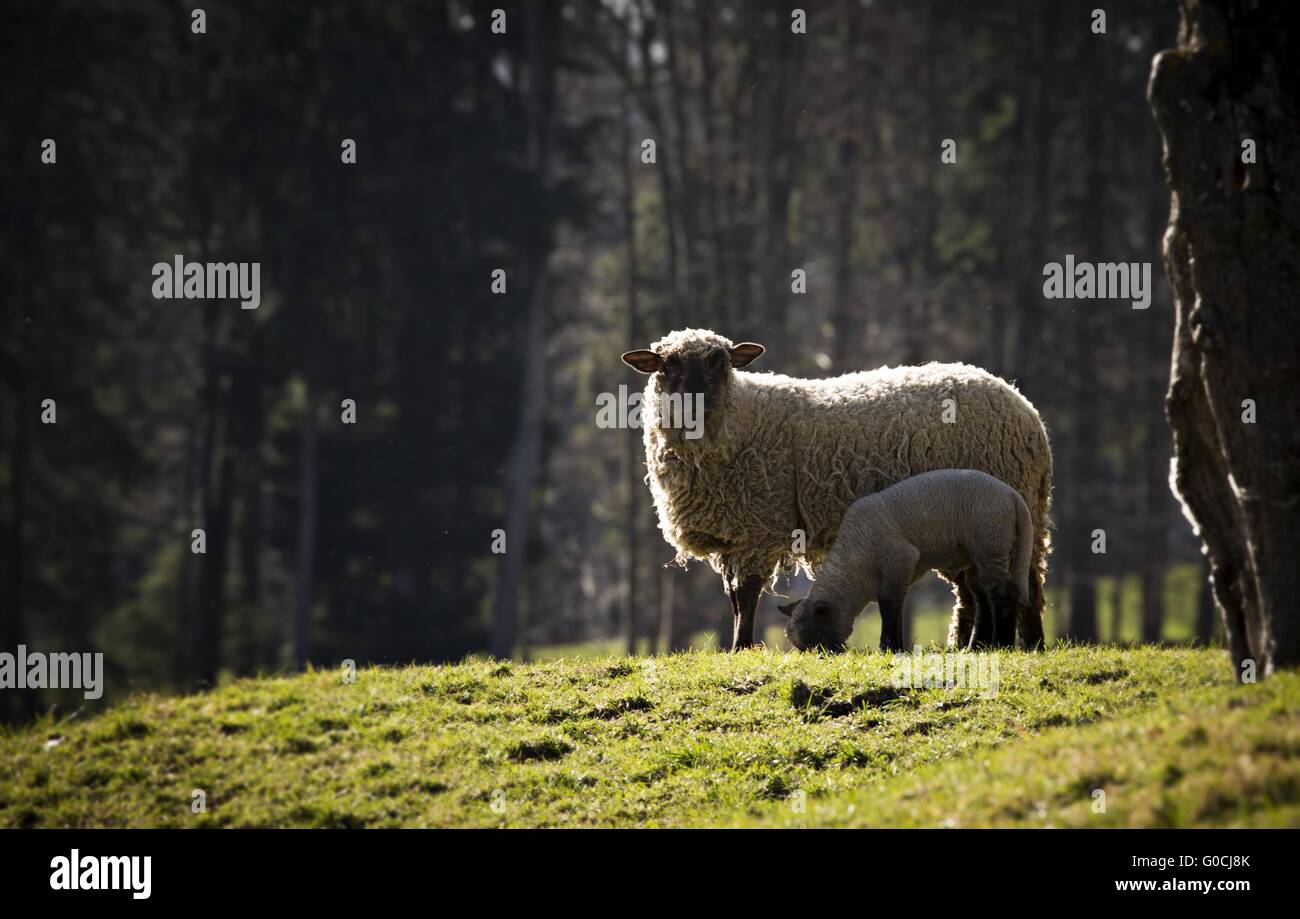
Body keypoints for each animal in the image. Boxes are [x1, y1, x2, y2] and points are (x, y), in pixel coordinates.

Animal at [774, 467, 1029, 655]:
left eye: (816, 635)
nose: (825, 655)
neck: (856, 562)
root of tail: (1013, 496)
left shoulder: (900, 561)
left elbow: (891, 606)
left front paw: (889, 647)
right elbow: (894, 606)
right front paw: (895, 646)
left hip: (991, 542)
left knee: (1003, 592)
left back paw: (1002, 644)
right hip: (978, 555)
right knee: (984, 596)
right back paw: (977, 646)